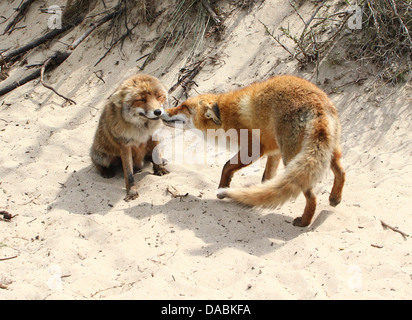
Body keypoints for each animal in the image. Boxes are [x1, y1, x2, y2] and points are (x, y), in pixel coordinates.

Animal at [161, 75, 344, 226]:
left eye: (184, 107)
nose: (161, 111)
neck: (225, 118)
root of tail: (318, 103)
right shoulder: (273, 151)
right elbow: (266, 180)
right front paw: (258, 200)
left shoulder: (253, 149)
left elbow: (226, 166)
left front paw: (223, 188)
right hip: (324, 153)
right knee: (341, 172)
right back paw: (335, 197)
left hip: (291, 157)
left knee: (311, 195)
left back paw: (304, 222)